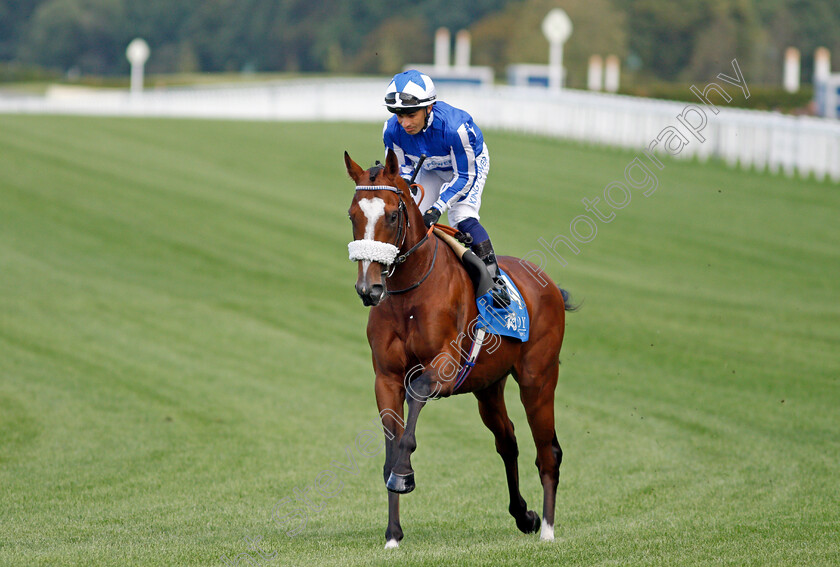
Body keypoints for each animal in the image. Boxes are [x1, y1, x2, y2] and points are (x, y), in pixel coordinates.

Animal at [344, 149, 576, 548]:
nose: (368, 288)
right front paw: (393, 534)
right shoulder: (385, 377)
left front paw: (404, 474)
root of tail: (548, 285)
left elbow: (415, 401)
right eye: (352, 215)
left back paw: (547, 529)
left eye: (392, 215)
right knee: (508, 441)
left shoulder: (444, 367)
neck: (409, 293)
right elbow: (390, 442)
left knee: (548, 451)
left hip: (538, 381)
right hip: (488, 388)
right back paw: (525, 515)